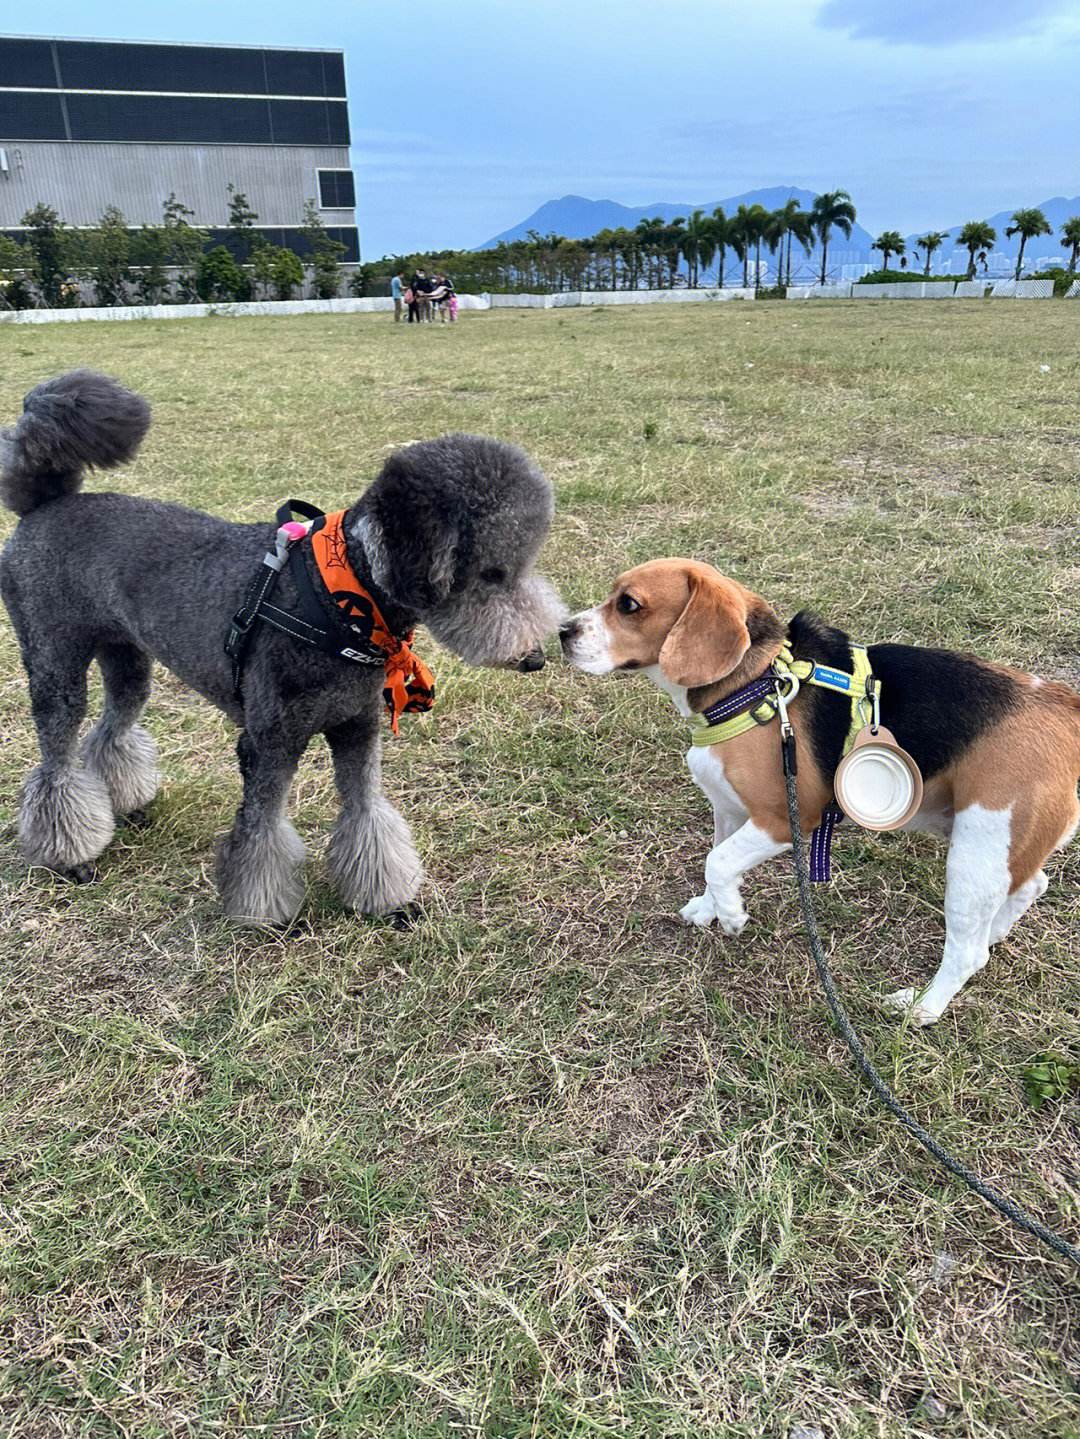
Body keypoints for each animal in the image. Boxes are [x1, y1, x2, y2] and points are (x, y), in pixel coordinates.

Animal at [4, 374, 566, 920]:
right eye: (491, 573)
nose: (536, 657)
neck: (339, 599)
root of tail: (46, 505)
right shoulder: (267, 743)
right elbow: (261, 833)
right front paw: (262, 910)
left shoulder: (356, 728)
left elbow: (366, 814)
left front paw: (385, 900)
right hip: (54, 660)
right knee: (56, 758)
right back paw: (70, 855)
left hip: (125, 658)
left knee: (111, 729)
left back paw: (125, 805)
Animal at [566, 558, 1080, 1024]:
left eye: (629, 605)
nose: (563, 631)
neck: (754, 683)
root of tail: (1061, 704)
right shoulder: (729, 811)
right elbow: (717, 860)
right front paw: (711, 908)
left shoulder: (784, 819)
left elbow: (718, 862)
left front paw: (731, 916)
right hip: (994, 843)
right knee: (1030, 885)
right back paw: (994, 932)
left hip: (976, 853)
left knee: (969, 951)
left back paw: (922, 1006)